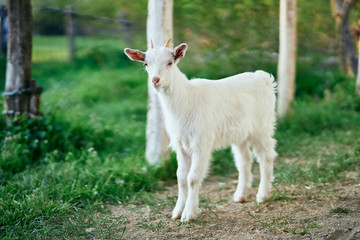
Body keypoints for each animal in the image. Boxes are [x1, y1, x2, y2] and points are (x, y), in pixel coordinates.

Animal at [125, 40, 278, 222]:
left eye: (170, 63)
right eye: (146, 64)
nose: (155, 80)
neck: (186, 99)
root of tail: (263, 77)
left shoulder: (201, 143)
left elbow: (192, 178)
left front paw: (188, 214)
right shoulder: (181, 145)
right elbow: (181, 177)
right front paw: (177, 211)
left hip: (262, 126)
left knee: (266, 157)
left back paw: (262, 195)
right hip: (239, 134)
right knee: (244, 160)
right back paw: (240, 195)